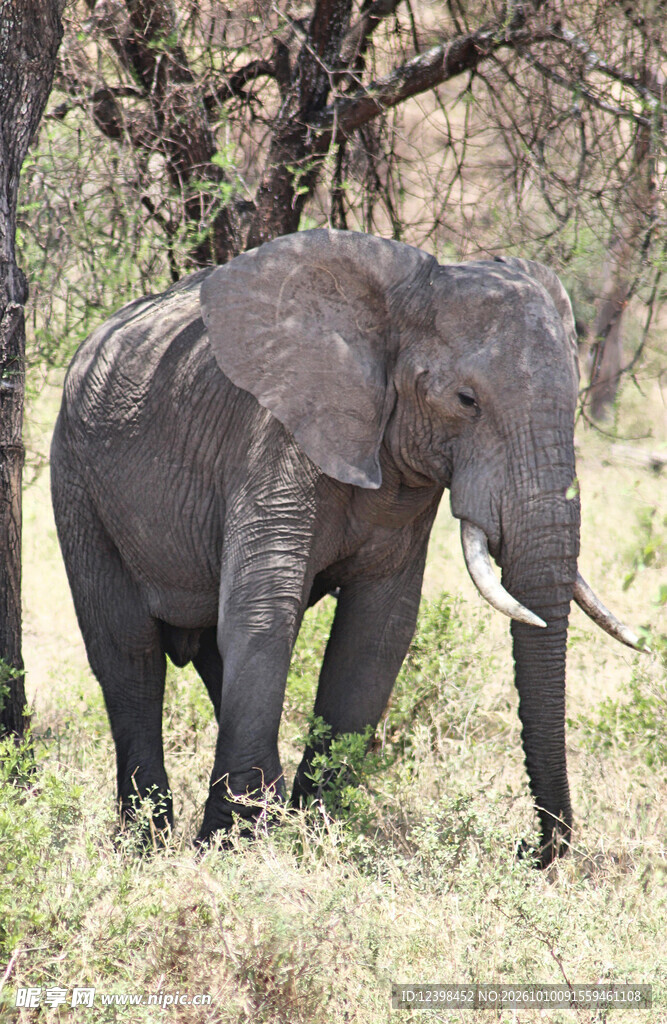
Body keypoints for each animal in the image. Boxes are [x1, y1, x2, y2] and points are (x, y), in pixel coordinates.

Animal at [50, 228, 641, 865]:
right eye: (466, 400)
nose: (529, 849)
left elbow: (377, 634)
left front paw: (315, 832)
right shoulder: (276, 434)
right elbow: (265, 612)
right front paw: (238, 848)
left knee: (208, 653)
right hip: (78, 481)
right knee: (127, 653)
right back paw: (147, 844)